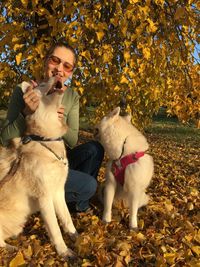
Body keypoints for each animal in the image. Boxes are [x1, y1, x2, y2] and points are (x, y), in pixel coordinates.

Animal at [0, 77, 77, 260]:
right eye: (42, 84)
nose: (56, 76)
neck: (47, 141)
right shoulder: (45, 197)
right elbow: (55, 229)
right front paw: (64, 252)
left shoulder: (58, 191)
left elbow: (67, 218)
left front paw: (76, 236)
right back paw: (12, 249)